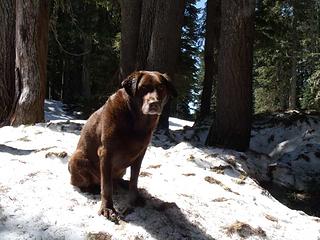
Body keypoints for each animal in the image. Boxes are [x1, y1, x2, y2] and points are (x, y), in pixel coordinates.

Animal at [68, 71, 178, 223]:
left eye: (161, 88)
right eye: (143, 88)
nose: (154, 104)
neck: (136, 121)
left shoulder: (140, 153)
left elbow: (135, 178)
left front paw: (134, 197)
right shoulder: (106, 152)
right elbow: (106, 186)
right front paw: (108, 209)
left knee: (117, 179)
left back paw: (123, 183)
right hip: (77, 158)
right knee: (87, 182)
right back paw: (91, 188)